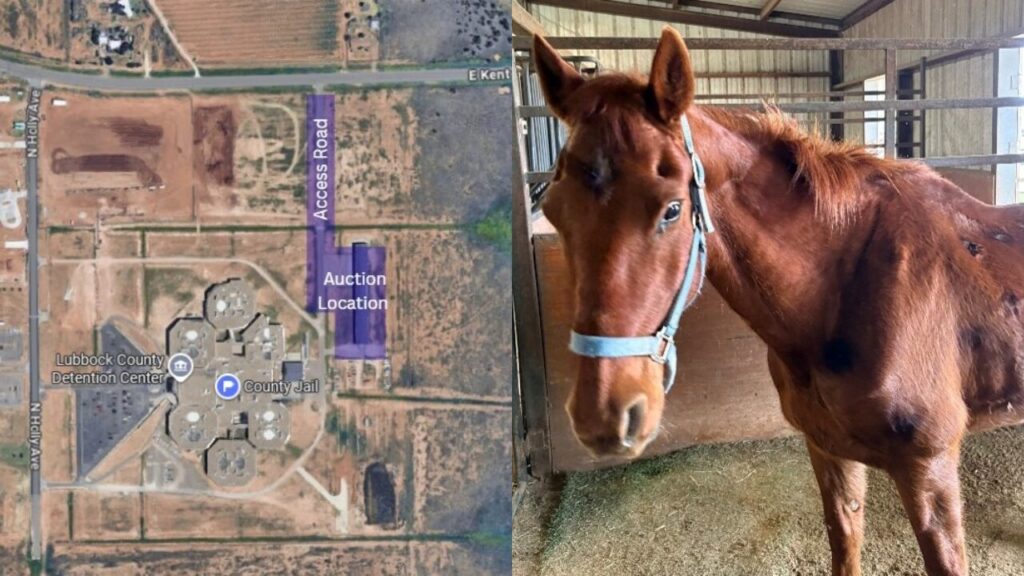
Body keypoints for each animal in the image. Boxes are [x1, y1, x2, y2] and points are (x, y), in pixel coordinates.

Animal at [532, 27, 1024, 576]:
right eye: (553, 209)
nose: (603, 416)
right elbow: (843, 544)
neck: (848, 287)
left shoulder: (929, 468)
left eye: (672, 209)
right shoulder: (828, 451)